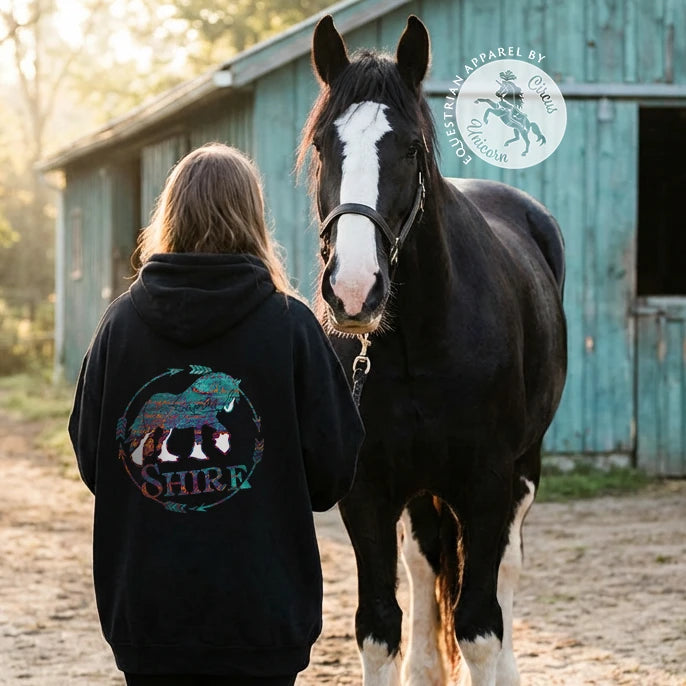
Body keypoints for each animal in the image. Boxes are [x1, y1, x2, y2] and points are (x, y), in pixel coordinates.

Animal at [298, 15, 567, 686]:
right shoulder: (368, 491)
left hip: (525, 466)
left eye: (412, 148)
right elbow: (378, 627)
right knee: (425, 565)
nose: (354, 290)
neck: (418, 343)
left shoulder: (487, 483)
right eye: (323, 147)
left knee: (506, 570)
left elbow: (479, 627)